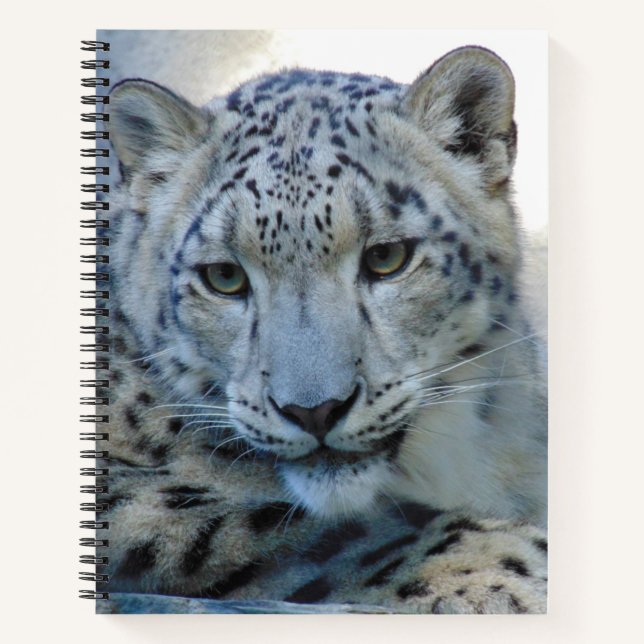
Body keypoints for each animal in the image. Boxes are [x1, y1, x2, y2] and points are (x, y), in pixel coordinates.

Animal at [94, 46, 547, 613]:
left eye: (387, 257)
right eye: (224, 276)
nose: (314, 410)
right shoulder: (136, 496)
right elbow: (299, 532)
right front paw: (505, 568)